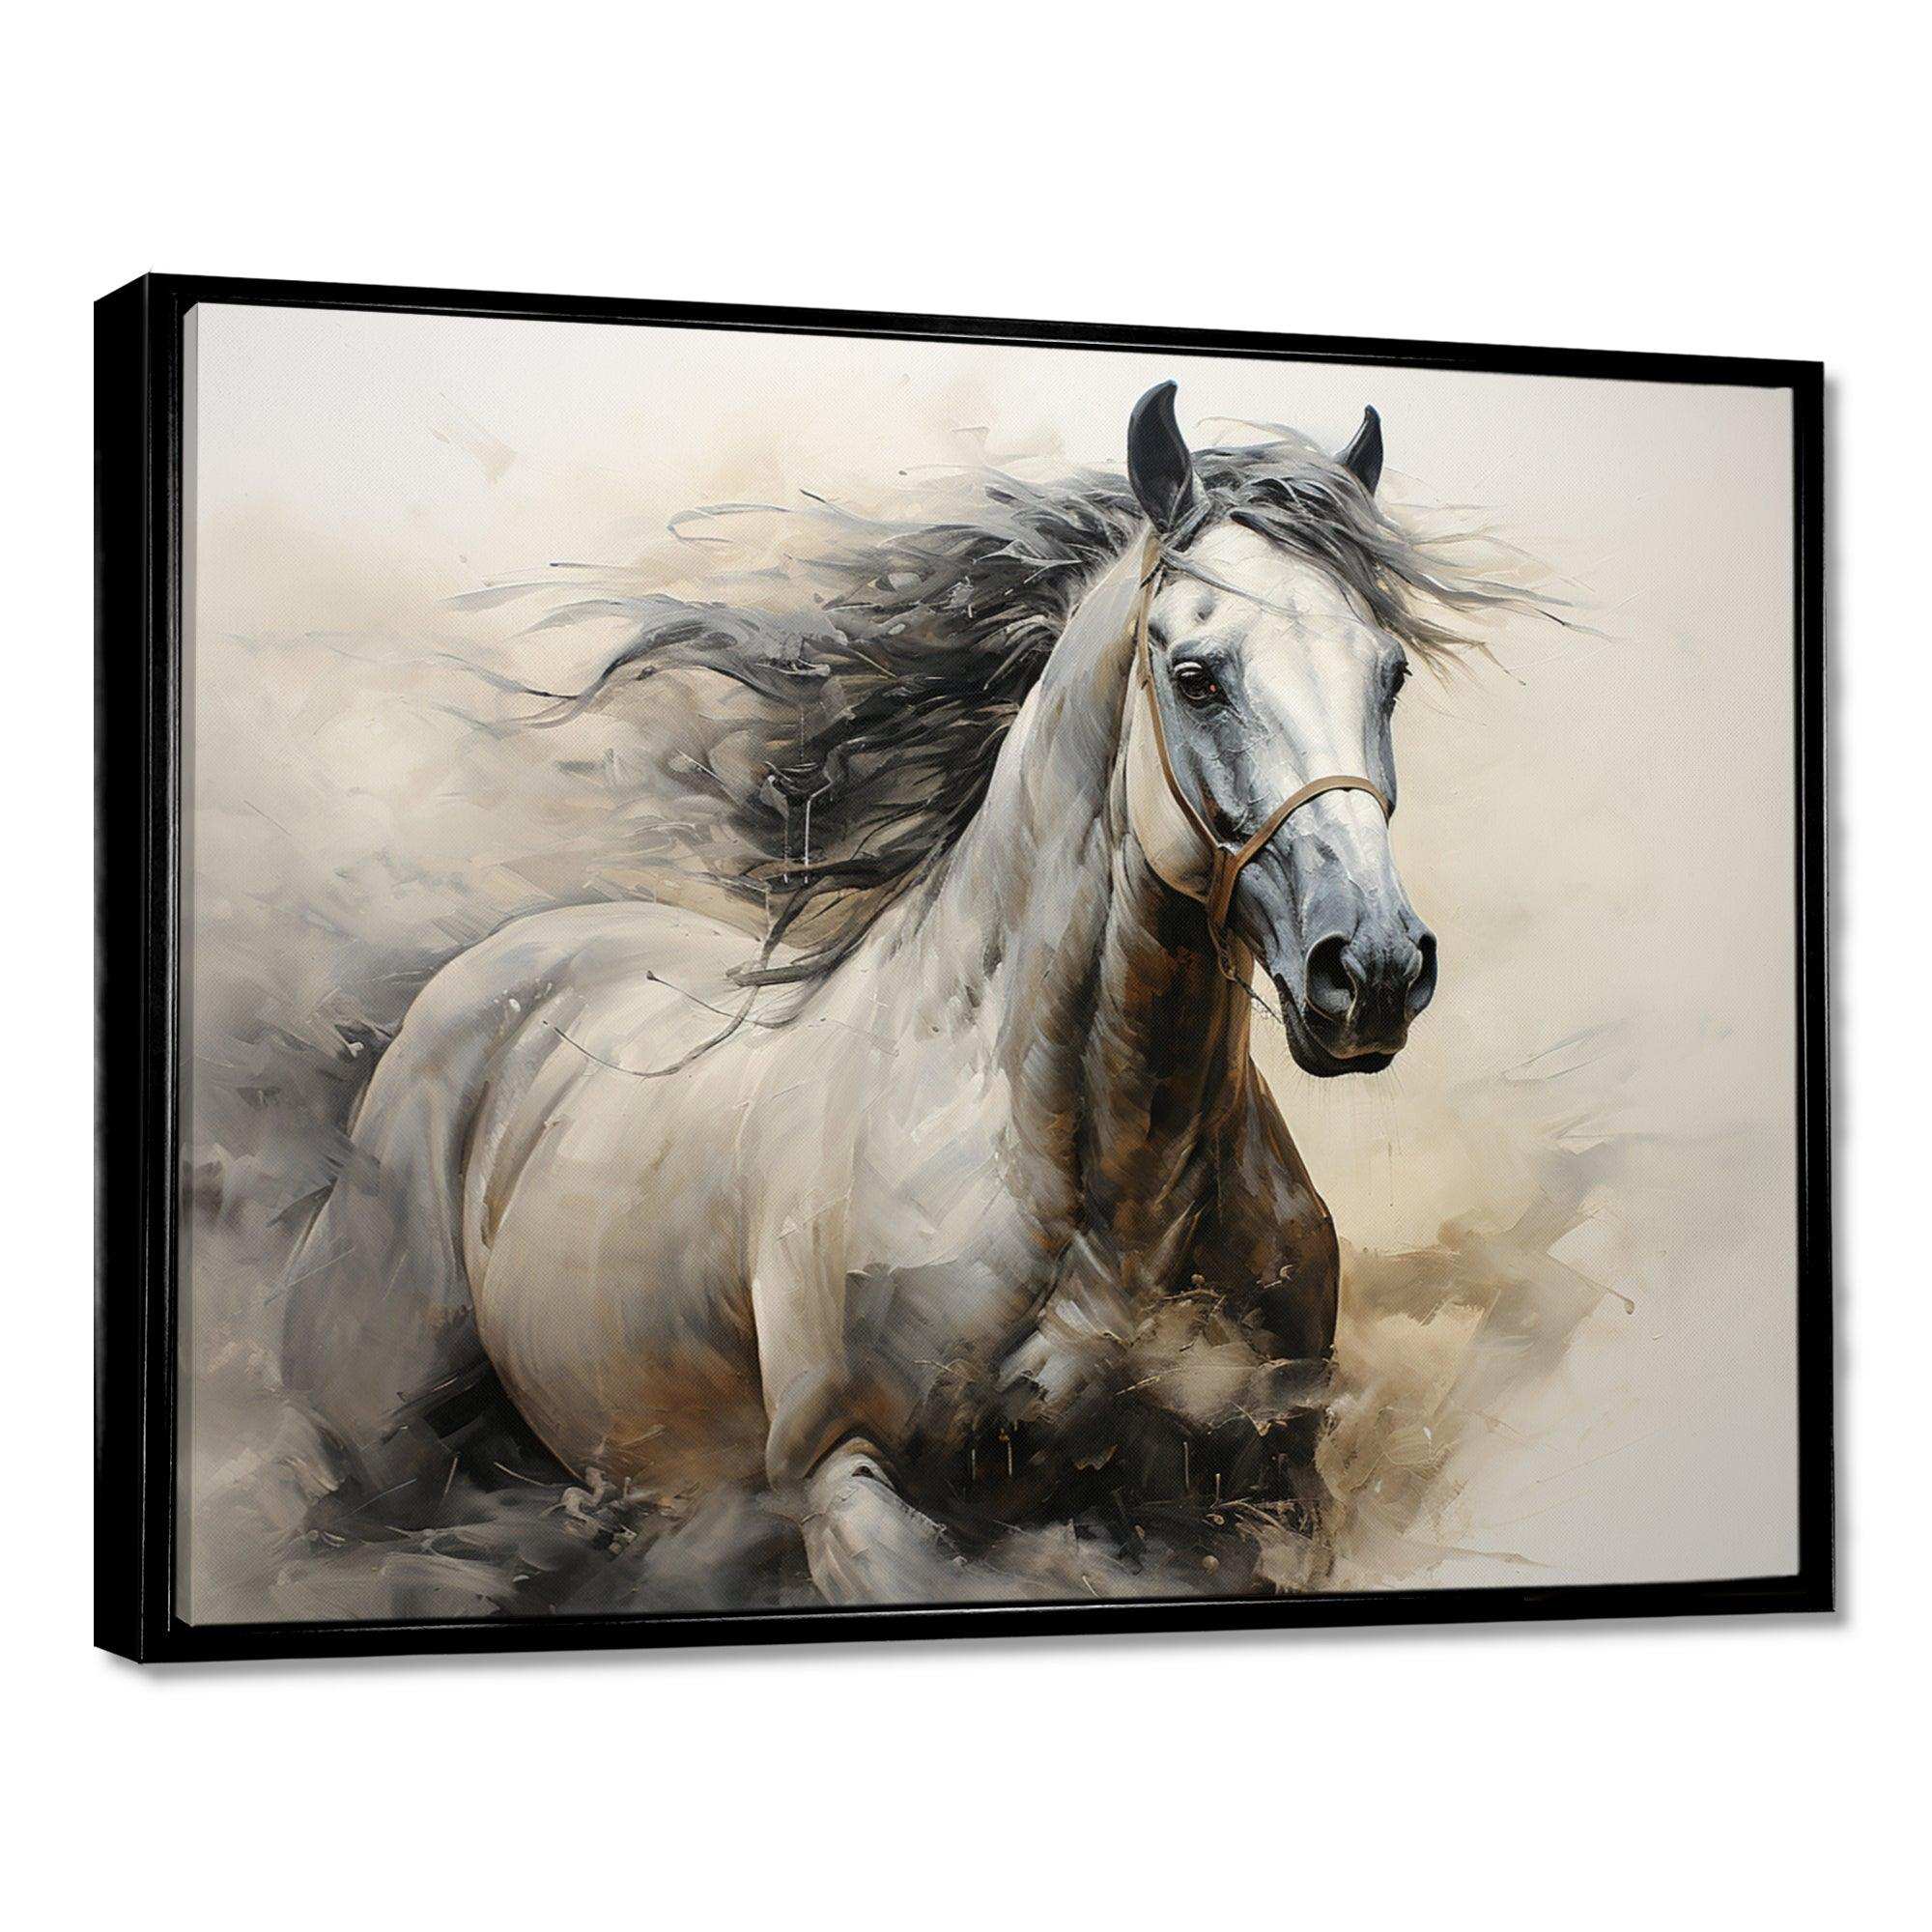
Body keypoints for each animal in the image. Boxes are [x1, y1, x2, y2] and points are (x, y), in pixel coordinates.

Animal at [279, 382, 1508, 1606]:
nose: (1373, 968)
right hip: (387, 1469)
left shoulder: (1256, 1506)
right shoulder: (849, 1485)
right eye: (1196, 675)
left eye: (1388, 674)